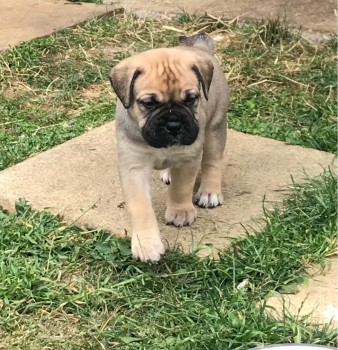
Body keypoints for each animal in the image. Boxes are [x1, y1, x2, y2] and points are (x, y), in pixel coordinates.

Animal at [109, 33, 230, 262]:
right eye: (148, 103)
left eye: (191, 99)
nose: (174, 124)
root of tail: (201, 49)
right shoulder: (134, 166)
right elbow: (140, 206)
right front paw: (146, 244)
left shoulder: (187, 158)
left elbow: (181, 188)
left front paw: (180, 212)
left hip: (215, 127)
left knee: (212, 161)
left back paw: (209, 191)